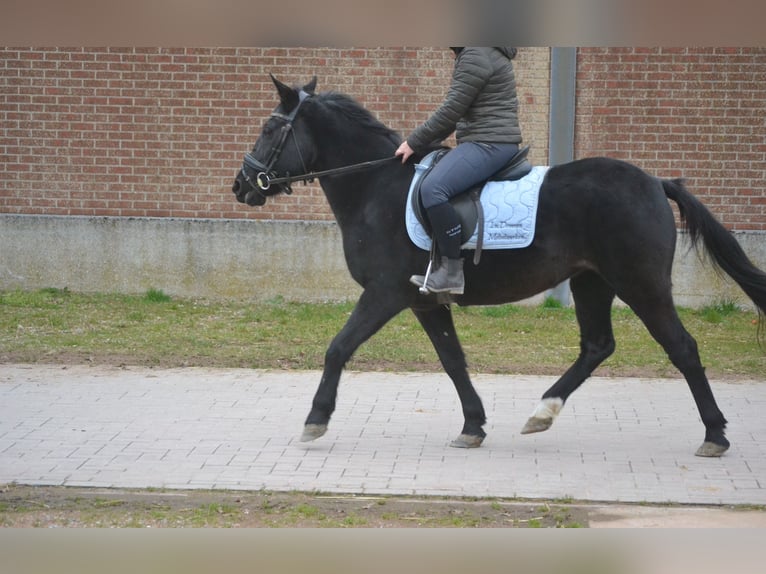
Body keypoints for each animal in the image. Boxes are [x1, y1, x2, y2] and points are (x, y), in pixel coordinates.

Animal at [232, 76, 766, 456]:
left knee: (683, 348)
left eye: (269, 129)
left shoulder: (384, 293)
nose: (241, 186)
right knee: (597, 346)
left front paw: (315, 421)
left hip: (641, 284)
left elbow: (338, 349)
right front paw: (473, 425)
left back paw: (715, 435)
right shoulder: (424, 301)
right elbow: (453, 360)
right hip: (592, 281)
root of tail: (655, 181)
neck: (375, 186)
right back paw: (542, 413)